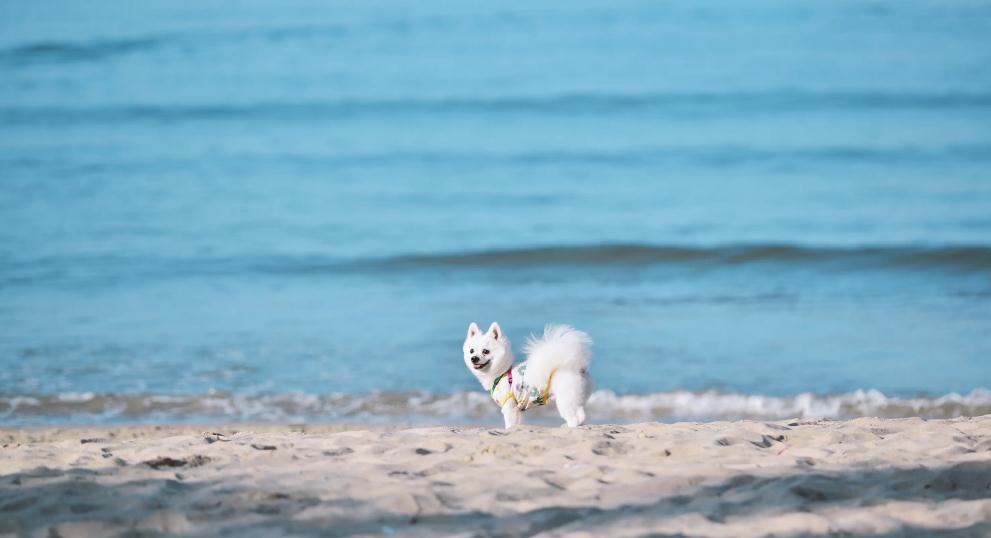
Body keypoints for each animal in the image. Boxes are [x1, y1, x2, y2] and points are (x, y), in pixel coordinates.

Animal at [464, 318, 592, 428]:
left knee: (573, 419)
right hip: (576, 398)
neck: (502, 372)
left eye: (486, 351)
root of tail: (576, 367)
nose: (474, 358)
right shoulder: (516, 410)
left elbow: (509, 425)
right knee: (581, 415)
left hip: (564, 400)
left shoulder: (510, 407)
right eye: (471, 351)